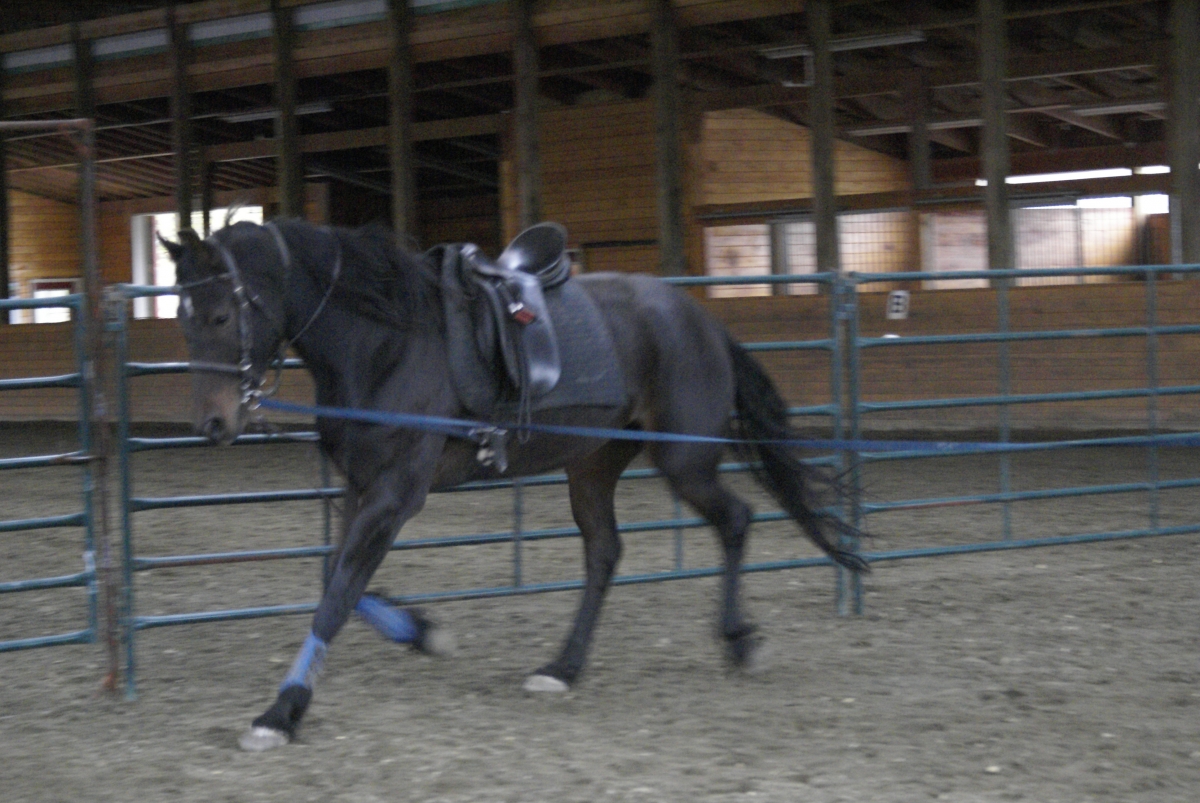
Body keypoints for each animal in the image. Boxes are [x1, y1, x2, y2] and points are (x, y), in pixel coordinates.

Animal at [160, 218, 868, 752]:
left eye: (220, 315)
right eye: (182, 318)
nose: (213, 425)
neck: (386, 340)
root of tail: (699, 319)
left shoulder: (396, 494)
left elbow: (336, 597)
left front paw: (281, 714)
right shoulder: (361, 488)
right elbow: (336, 577)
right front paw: (421, 631)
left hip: (684, 460)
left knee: (735, 521)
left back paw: (740, 641)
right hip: (593, 466)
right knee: (605, 553)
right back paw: (562, 668)